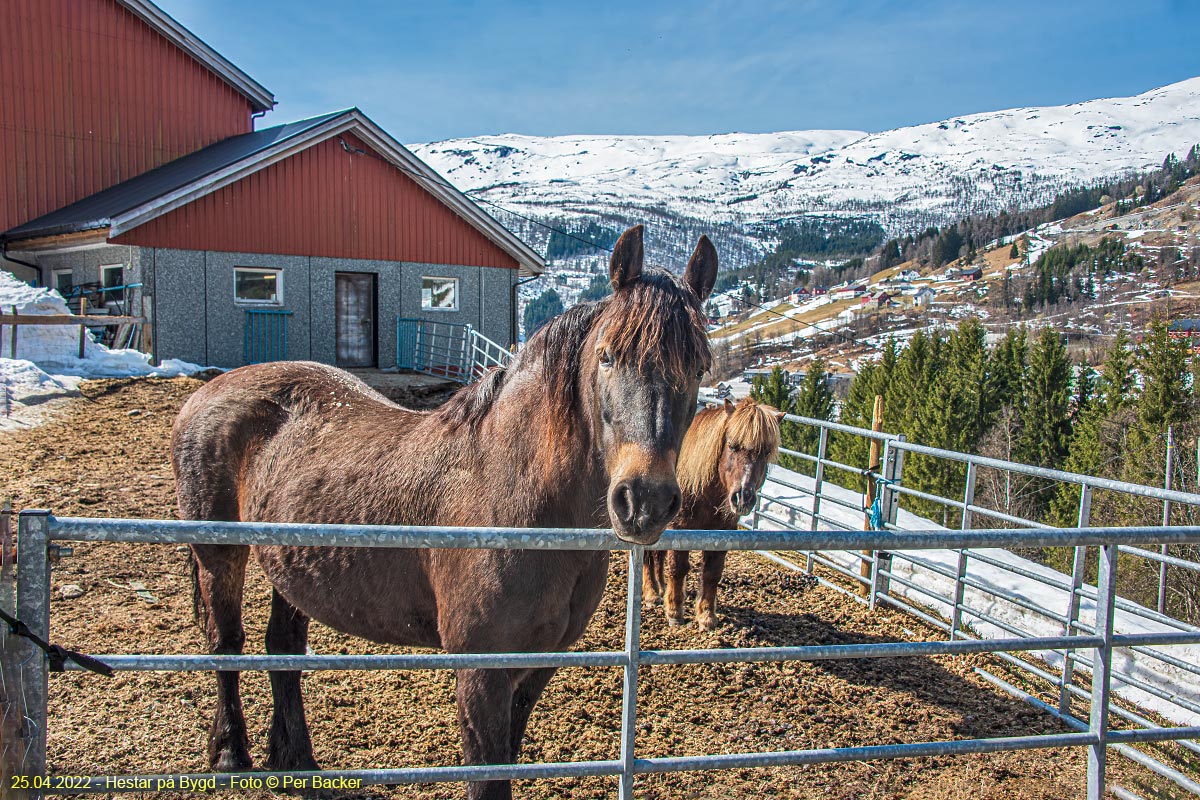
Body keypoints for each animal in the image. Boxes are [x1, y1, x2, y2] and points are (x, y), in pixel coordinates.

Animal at [169, 226, 710, 800]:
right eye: (607, 356)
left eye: (699, 368)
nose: (644, 500)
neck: (510, 491)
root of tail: (209, 392)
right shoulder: (480, 671)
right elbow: (487, 775)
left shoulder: (538, 664)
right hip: (219, 554)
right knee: (227, 644)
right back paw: (230, 753)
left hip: (289, 566)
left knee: (283, 650)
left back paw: (295, 760)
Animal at [643, 400, 782, 633]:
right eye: (732, 445)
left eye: (765, 452)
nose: (742, 497)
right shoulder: (680, 529)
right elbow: (678, 568)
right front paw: (674, 612)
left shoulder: (722, 532)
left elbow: (712, 573)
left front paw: (706, 616)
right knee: (648, 555)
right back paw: (652, 592)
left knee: (657, 555)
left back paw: (660, 586)